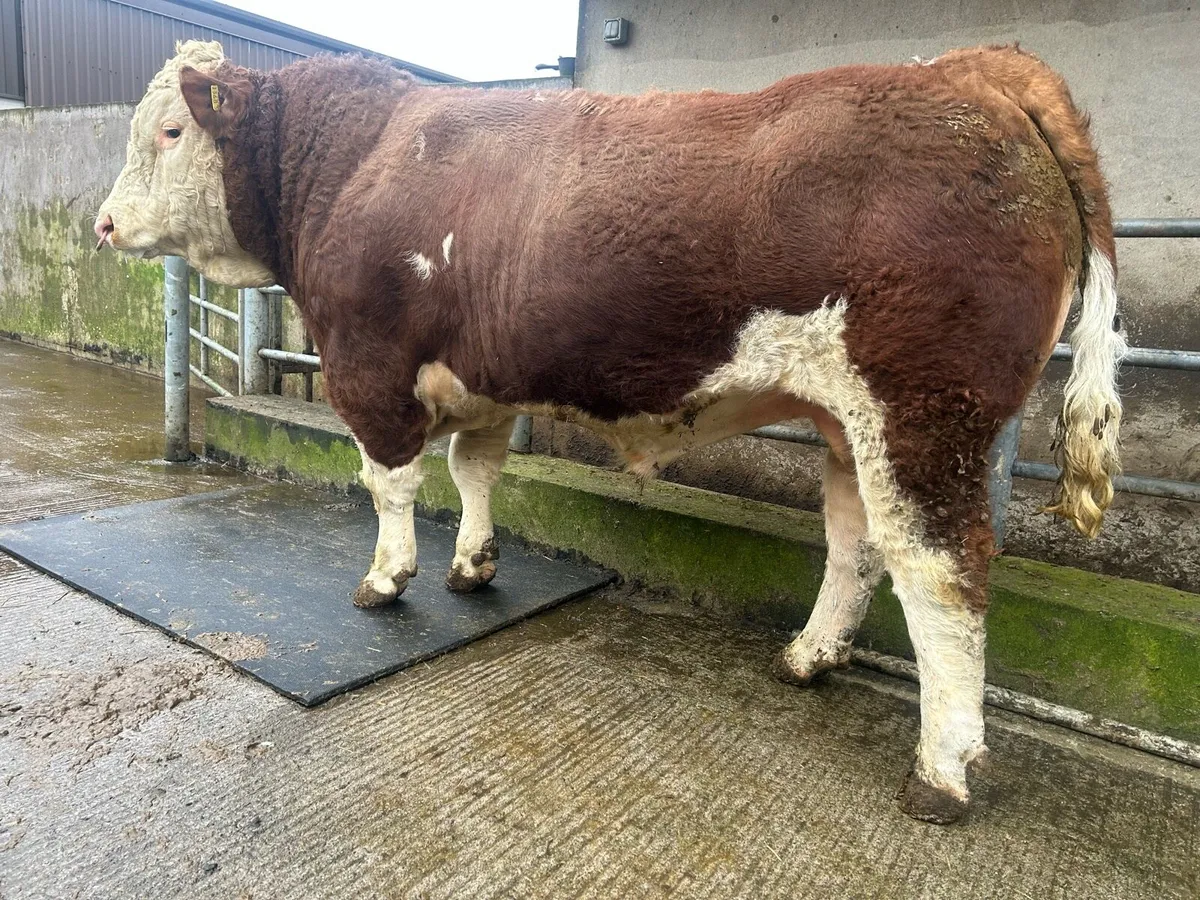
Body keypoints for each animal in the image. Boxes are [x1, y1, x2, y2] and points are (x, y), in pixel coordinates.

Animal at [96, 40, 1125, 823]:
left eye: (171, 130)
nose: (102, 225)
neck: (356, 160)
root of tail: (973, 68)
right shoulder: (485, 379)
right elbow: (475, 471)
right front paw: (473, 566)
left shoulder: (369, 365)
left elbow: (390, 483)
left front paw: (388, 580)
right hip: (849, 423)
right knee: (857, 545)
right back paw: (808, 657)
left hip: (922, 414)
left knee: (943, 575)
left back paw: (941, 772)